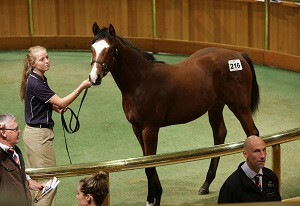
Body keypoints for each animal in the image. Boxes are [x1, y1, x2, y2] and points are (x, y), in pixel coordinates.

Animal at [88, 22, 258, 206]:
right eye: (92, 47)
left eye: (111, 49)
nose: (94, 77)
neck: (141, 82)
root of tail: (238, 55)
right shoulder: (137, 128)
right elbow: (145, 162)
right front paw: (155, 197)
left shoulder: (150, 129)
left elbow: (149, 166)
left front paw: (153, 199)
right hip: (215, 106)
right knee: (220, 134)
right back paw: (205, 185)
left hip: (239, 107)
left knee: (252, 133)